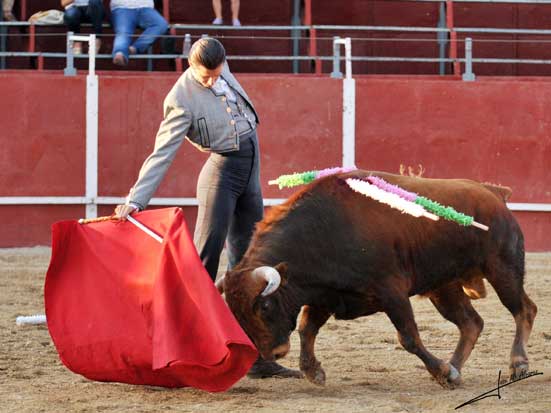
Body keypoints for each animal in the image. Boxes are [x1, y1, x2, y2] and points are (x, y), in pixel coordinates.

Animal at [217, 170, 540, 386]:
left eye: (265, 306)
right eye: (234, 313)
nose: (273, 352)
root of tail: (492, 193)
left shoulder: (391, 291)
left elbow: (408, 337)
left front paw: (439, 369)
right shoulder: (325, 295)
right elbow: (307, 329)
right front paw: (313, 371)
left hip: (502, 269)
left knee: (524, 309)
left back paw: (517, 364)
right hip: (444, 287)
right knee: (471, 323)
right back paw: (454, 369)